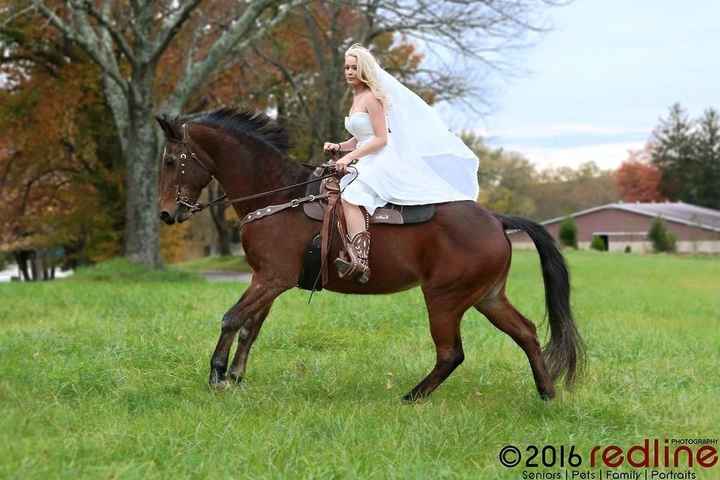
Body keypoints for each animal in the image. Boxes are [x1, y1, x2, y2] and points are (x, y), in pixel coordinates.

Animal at [156, 108, 584, 402]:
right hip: (488, 297)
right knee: (526, 333)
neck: (280, 194)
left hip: (444, 299)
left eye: (170, 161)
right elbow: (250, 327)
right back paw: (546, 393)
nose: (166, 214)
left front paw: (216, 376)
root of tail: (496, 219)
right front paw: (236, 376)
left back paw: (412, 396)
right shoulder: (267, 279)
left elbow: (231, 319)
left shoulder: (271, 278)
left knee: (451, 353)